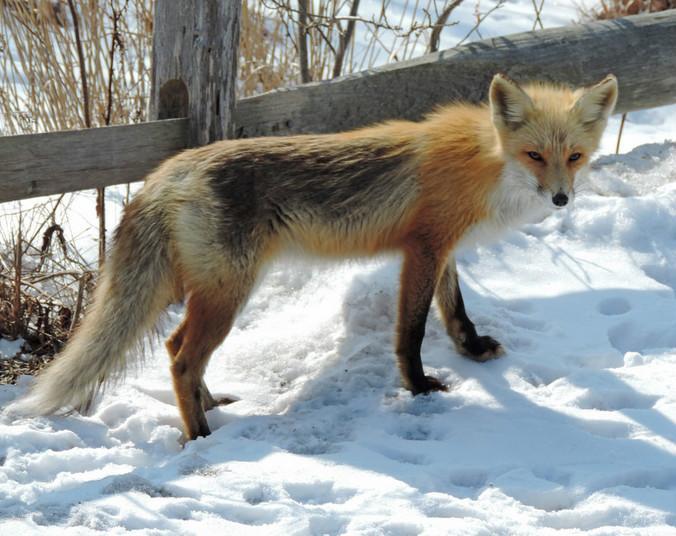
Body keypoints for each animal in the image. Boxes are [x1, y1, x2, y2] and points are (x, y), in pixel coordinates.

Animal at [14, 73, 616, 440]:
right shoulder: (422, 248)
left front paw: (471, 350)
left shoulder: (441, 246)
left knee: (176, 348)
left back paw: (211, 407)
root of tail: (166, 171)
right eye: (534, 155)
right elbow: (413, 331)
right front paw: (418, 388)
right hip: (228, 293)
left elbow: (456, 310)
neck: (485, 164)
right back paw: (202, 439)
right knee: (182, 356)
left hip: (210, 290)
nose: (561, 198)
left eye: (574, 157)